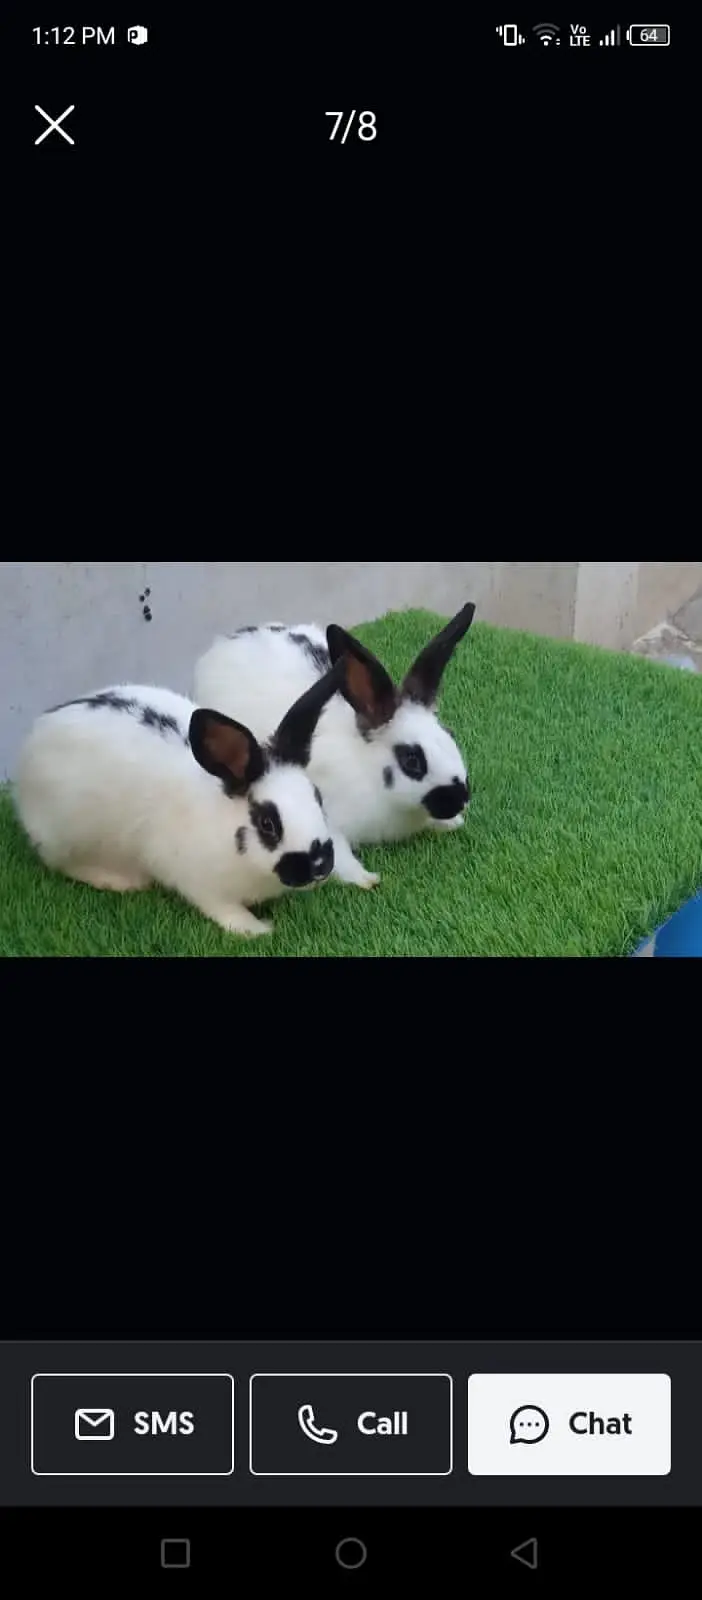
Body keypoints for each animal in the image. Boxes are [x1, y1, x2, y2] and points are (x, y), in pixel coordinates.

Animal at [14, 663, 350, 938]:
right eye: (267, 823)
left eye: (318, 798)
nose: (320, 865)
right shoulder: (197, 881)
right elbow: (224, 910)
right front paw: (257, 929)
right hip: (67, 836)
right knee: (62, 863)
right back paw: (120, 880)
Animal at [193, 603, 476, 884]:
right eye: (412, 760)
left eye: (450, 734)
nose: (463, 798)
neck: (367, 769)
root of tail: (223, 642)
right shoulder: (326, 821)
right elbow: (340, 856)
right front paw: (367, 879)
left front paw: (453, 823)